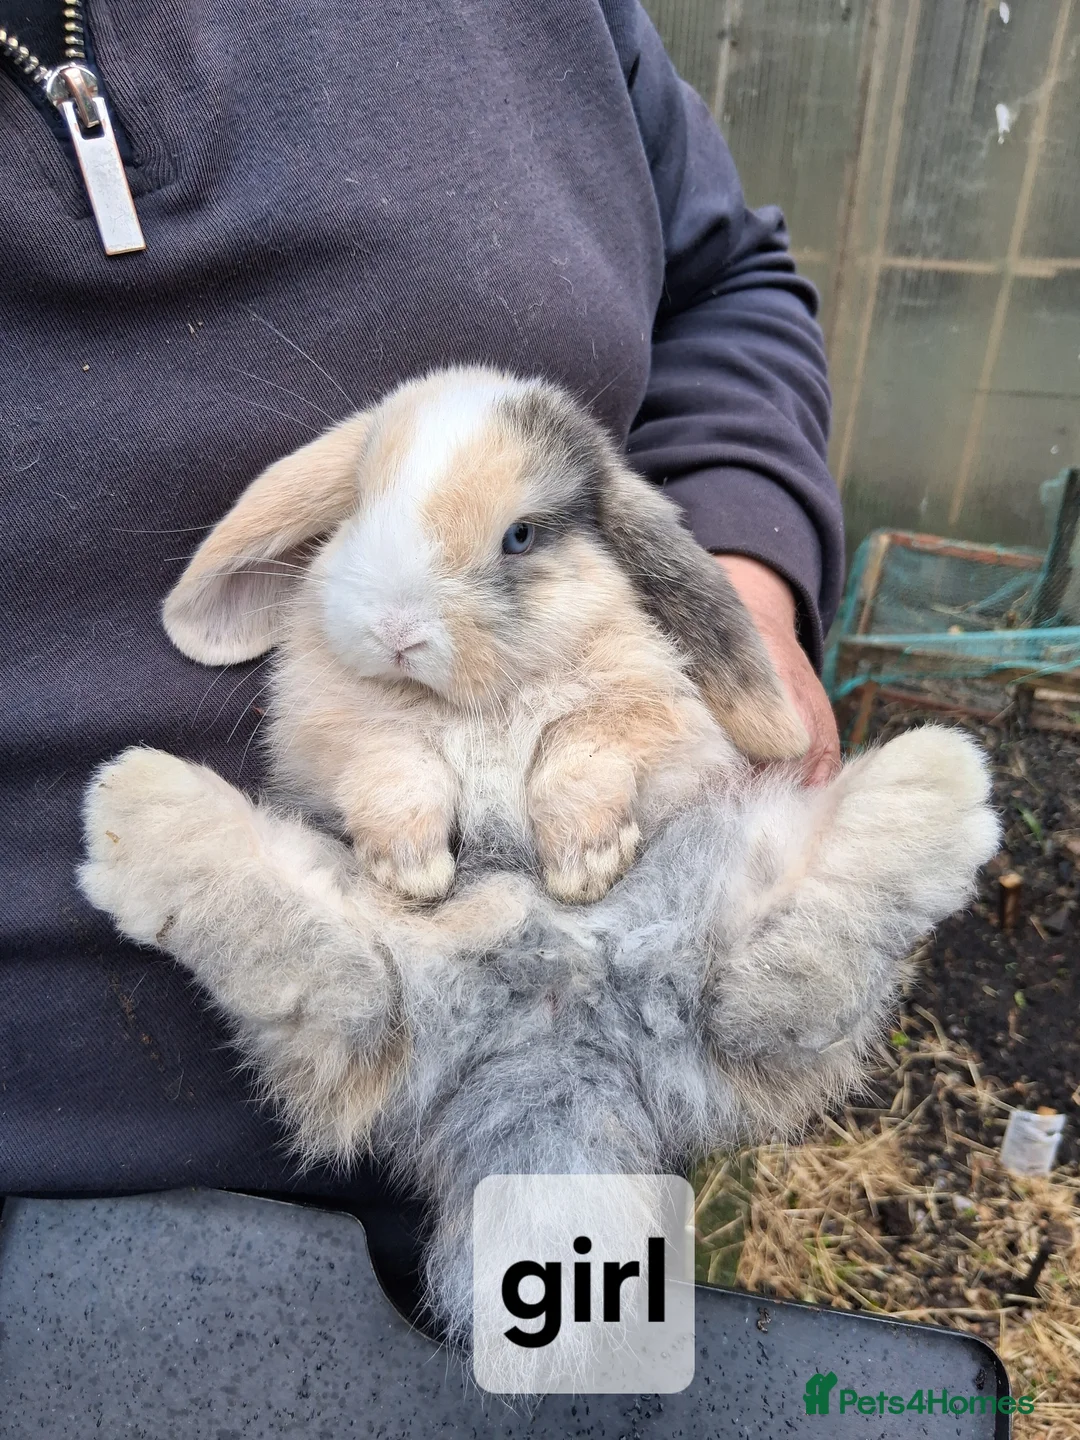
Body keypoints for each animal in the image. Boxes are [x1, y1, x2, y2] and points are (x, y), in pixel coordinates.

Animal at [160, 365, 810, 904]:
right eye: (360, 509)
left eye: (520, 536)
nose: (397, 633)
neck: (481, 706)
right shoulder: (347, 732)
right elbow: (397, 777)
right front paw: (413, 874)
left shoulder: (634, 716)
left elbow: (574, 769)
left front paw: (586, 870)